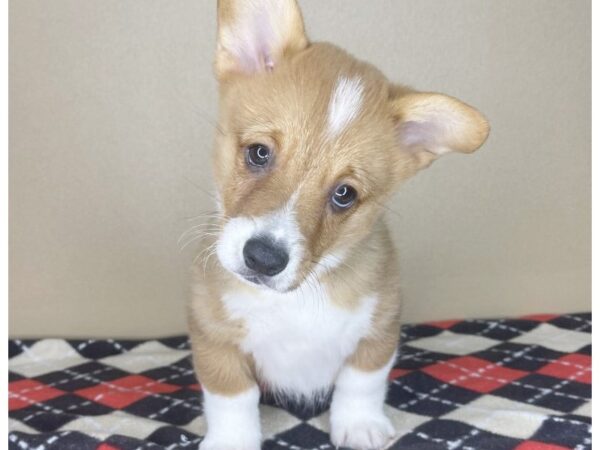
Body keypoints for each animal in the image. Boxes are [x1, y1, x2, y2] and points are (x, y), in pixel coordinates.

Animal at [188, 1, 488, 448]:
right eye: (258, 152)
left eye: (344, 194)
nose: (263, 258)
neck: (297, 298)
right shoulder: (214, 339)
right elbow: (232, 398)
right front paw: (232, 441)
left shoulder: (378, 330)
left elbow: (361, 381)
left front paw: (360, 426)